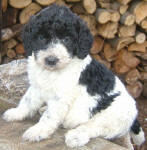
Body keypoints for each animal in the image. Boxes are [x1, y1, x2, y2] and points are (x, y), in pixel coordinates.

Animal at [2, 4, 145, 148]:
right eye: (41, 38)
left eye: (67, 39)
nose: (51, 60)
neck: (51, 71)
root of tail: (134, 116)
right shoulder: (37, 86)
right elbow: (27, 101)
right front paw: (16, 113)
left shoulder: (61, 97)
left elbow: (49, 116)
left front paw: (37, 131)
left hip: (111, 116)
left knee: (93, 128)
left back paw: (76, 136)